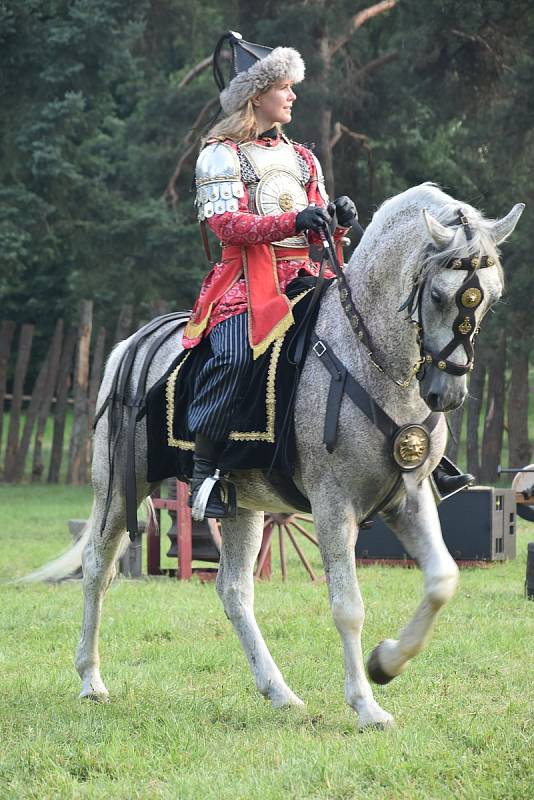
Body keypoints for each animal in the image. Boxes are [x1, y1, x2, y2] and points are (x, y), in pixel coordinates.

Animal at [24, 184, 524, 728]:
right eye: (438, 295)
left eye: (492, 297)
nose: (446, 393)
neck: (369, 357)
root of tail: (133, 343)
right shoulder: (333, 506)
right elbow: (347, 606)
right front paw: (366, 704)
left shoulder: (408, 497)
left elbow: (442, 580)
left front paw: (386, 663)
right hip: (119, 486)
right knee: (98, 566)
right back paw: (91, 680)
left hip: (240, 504)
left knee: (234, 590)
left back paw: (278, 689)